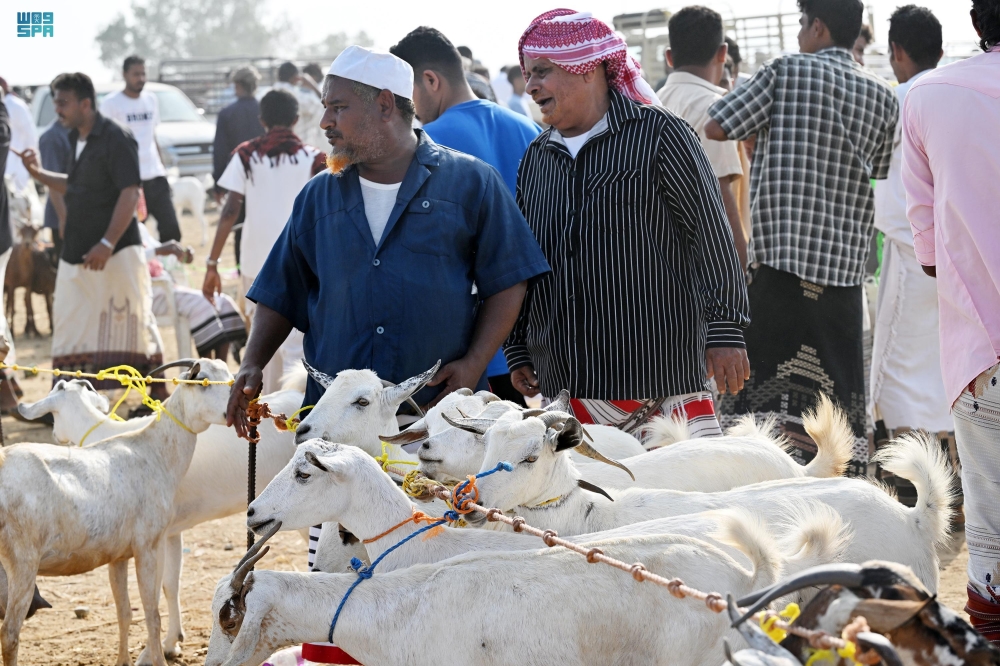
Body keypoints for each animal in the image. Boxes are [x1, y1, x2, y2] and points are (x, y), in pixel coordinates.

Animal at [0, 358, 232, 664]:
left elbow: (124, 613)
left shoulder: (117, 556)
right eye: (202, 380)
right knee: (9, 634)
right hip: (23, 561)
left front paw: (123, 660)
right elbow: (152, 614)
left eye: (229, 376)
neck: (153, 452)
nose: (237, 405)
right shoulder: (147, 545)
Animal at [15, 374, 308, 660]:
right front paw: (171, 642)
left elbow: (154, 594)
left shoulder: (152, 539)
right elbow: (169, 586)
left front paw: (151, 652)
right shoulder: (171, 532)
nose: (55, 436)